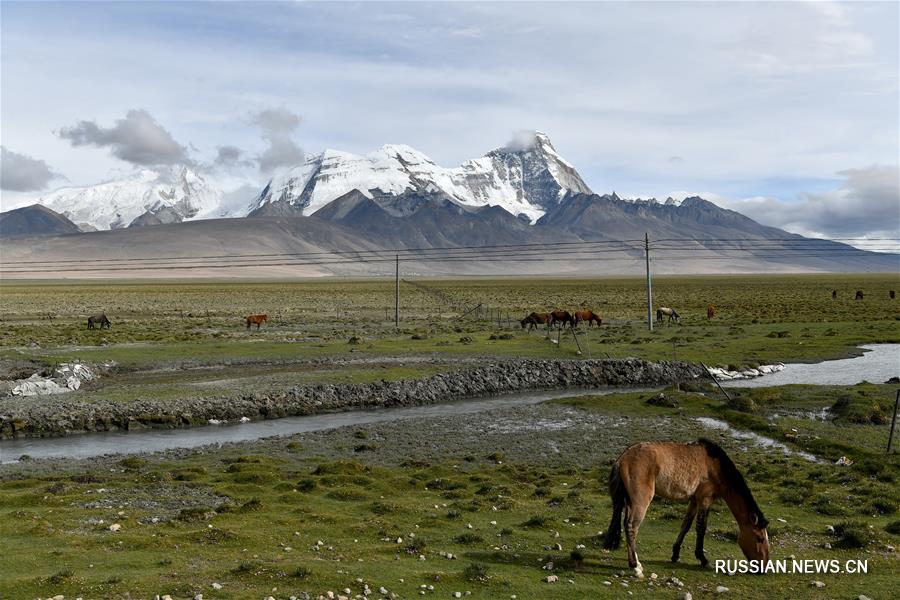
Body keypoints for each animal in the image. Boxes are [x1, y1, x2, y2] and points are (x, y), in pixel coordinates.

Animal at [600, 438, 768, 580]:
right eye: (759, 538)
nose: (763, 567)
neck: (715, 466)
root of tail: (622, 458)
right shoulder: (705, 499)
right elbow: (701, 528)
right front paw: (703, 559)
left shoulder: (693, 500)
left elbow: (685, 525)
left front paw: (675, 555)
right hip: (640, 502)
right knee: (631, 527)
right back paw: (635, 567)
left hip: (629, 501)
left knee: (625, 524)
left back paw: (636, 562)